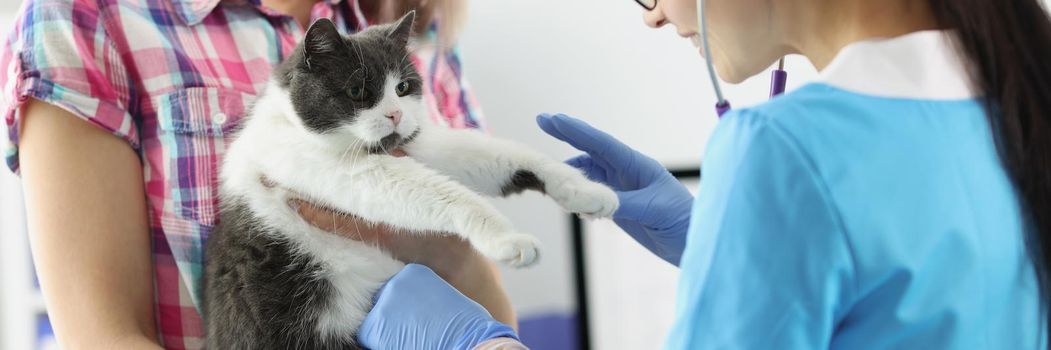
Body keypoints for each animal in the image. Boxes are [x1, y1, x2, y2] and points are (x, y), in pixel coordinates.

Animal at [201, 11, 617, 348]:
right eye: (357, 91)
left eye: (402, 88)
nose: (395, 115)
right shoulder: (327, 166)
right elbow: (438, 192)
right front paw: (508, 239)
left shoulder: (420, 142)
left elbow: (495, 156)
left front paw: (588, 190)